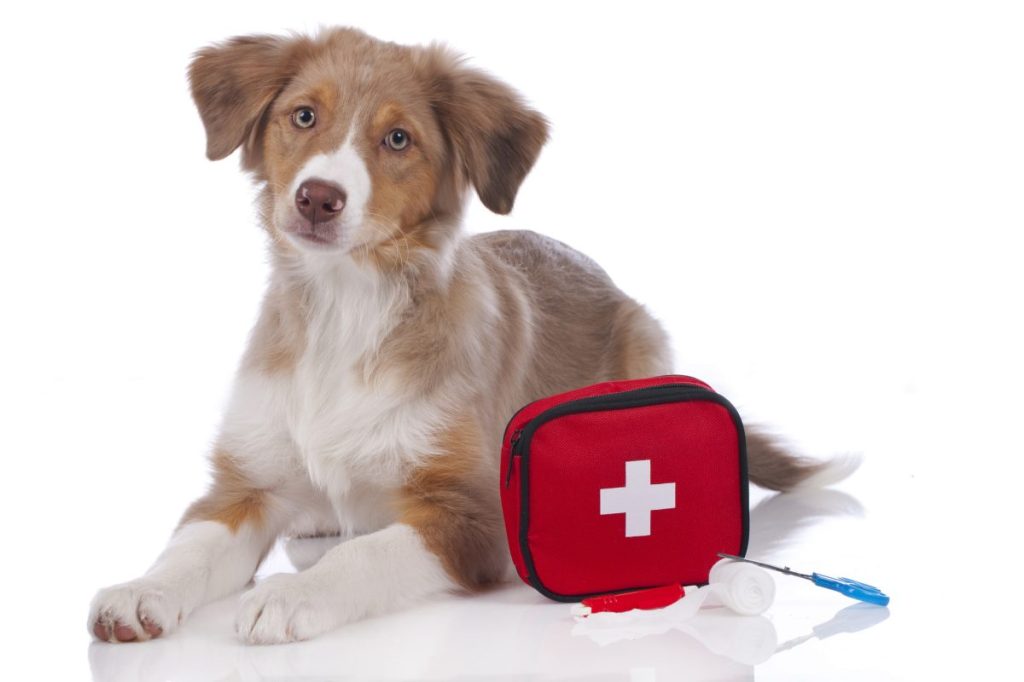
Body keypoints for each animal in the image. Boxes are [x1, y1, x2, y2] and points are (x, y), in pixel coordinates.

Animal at [88, 26, 843, 643]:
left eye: (398, 139)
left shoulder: (473, 517)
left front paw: (295, 592)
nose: (317, 198)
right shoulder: (246, 481)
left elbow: (366, 552)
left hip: (645, 340)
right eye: (303, 116)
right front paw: (140, 591)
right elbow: (191, 545)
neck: (346, 308)